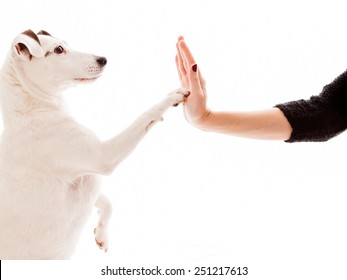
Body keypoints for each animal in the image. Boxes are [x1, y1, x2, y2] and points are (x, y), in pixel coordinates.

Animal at [0, 29, 189, 260]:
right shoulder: (103, 157)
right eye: (58, 50)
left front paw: (102, 235)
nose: (104, 59)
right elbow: (145, 116)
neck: (31, 111)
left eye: (65, 44)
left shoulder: (90, 178)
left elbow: (108, 203)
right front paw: (169, 99)